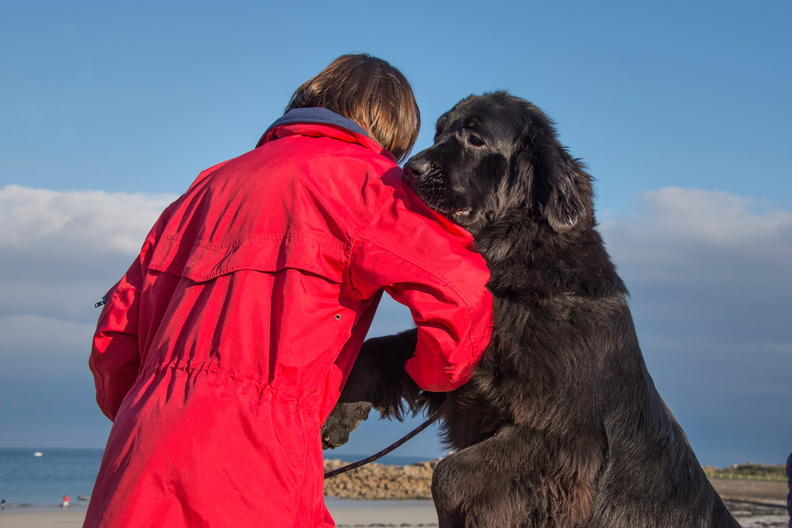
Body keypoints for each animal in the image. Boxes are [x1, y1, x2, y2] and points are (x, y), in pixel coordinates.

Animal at [324, 92, 744, 528]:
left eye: (476, 140)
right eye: (439, 132)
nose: (410, 169)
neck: (519, 262)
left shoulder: (559, 439)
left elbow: (451, 475)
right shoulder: (467, 353)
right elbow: (384, 349)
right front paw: (341, 411)